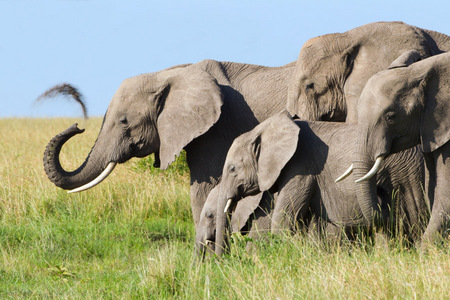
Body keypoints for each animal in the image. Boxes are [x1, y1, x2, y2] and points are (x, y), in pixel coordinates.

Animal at [213, 112, 428, 255]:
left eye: (232, 169)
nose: (221, 260)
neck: (263, 129)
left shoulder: (300, 167)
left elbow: (284, 220)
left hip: (403, 173)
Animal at [342, 51, 448, 244]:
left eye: (391, 117)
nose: (381, 191)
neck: (420, 71)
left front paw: (425, 248)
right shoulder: (431, 127)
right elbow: (433, 186)